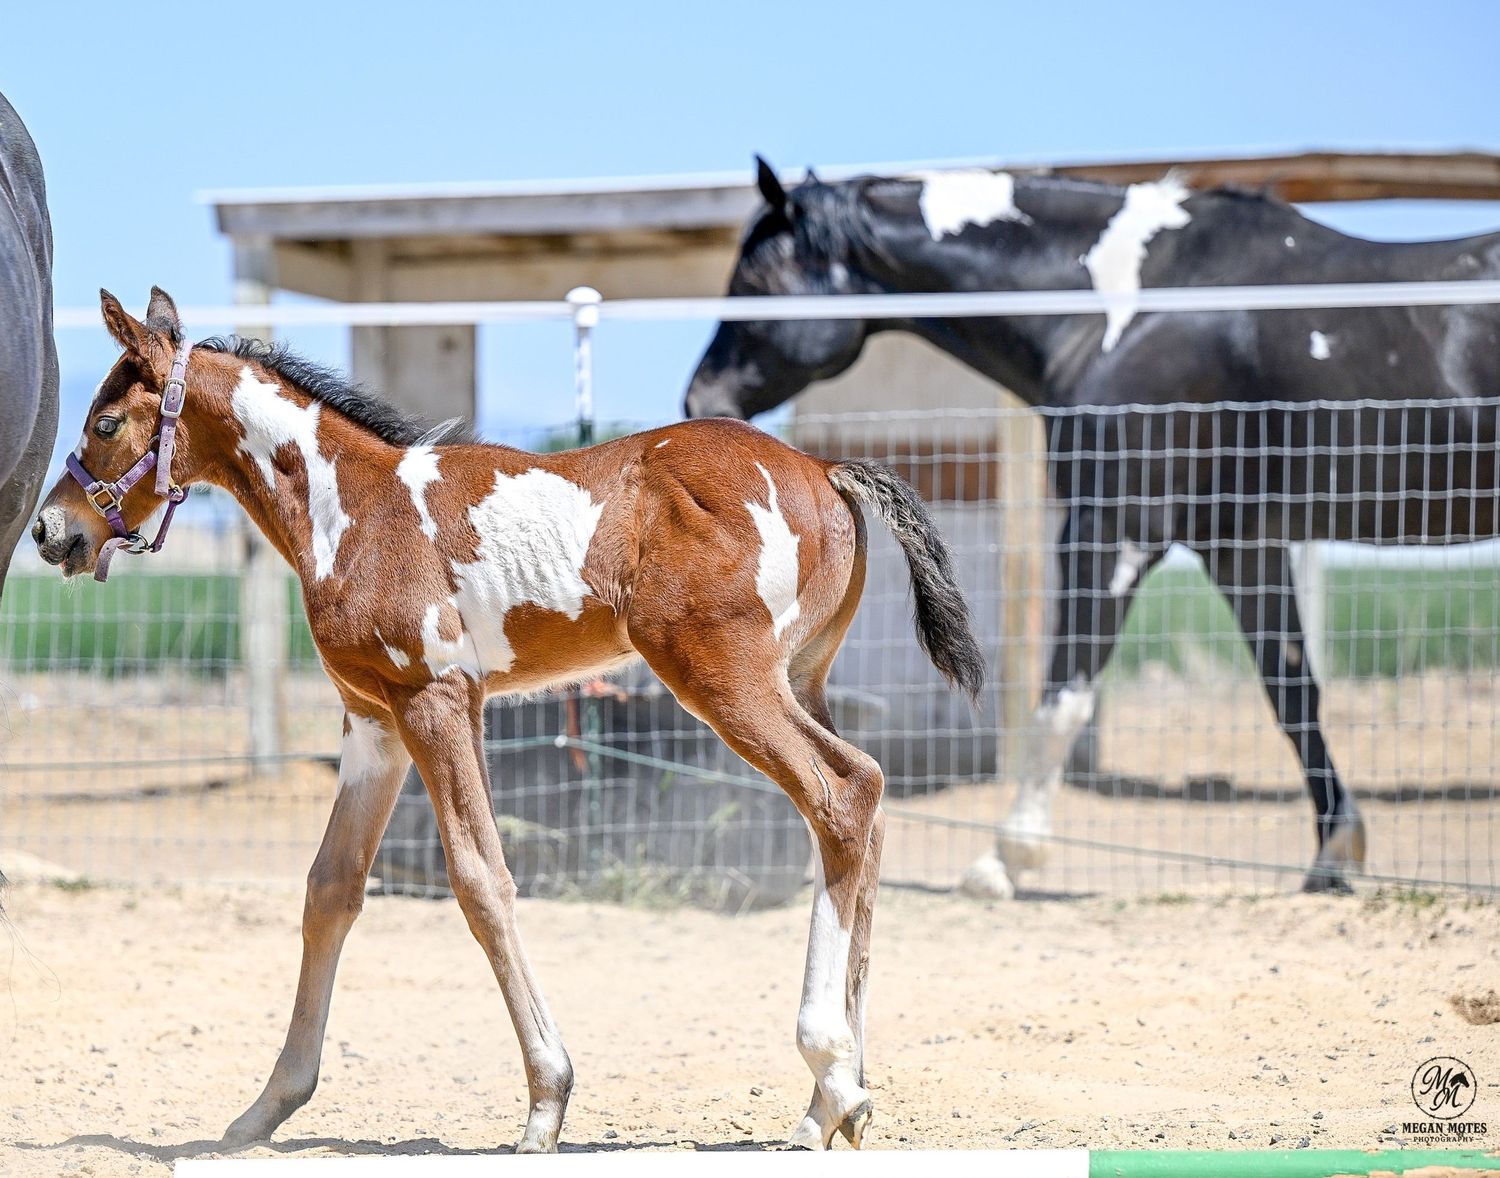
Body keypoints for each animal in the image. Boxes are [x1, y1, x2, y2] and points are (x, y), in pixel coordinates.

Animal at [32, 288, 984, 1152]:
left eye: (107, 422)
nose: (49, 532)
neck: (352, 509)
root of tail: (824, 473)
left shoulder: (438, 699)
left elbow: (480, 879)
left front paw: (546, 1103)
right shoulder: (373, 722)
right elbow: (330, 888)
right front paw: (265, 1109)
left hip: (723, 679)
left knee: (837, 797)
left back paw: (831, 1077)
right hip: (799, 678)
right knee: (866, 795)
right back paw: (837, 1096)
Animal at [684, 157, 1500, 898]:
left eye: (755, 282)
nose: (701, 397)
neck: (1123, 308)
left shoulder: (1114, 530)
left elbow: (1065, 696)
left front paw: (1004, 861)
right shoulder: (1242, 546)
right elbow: (1293, 694)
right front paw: (1333, 858)